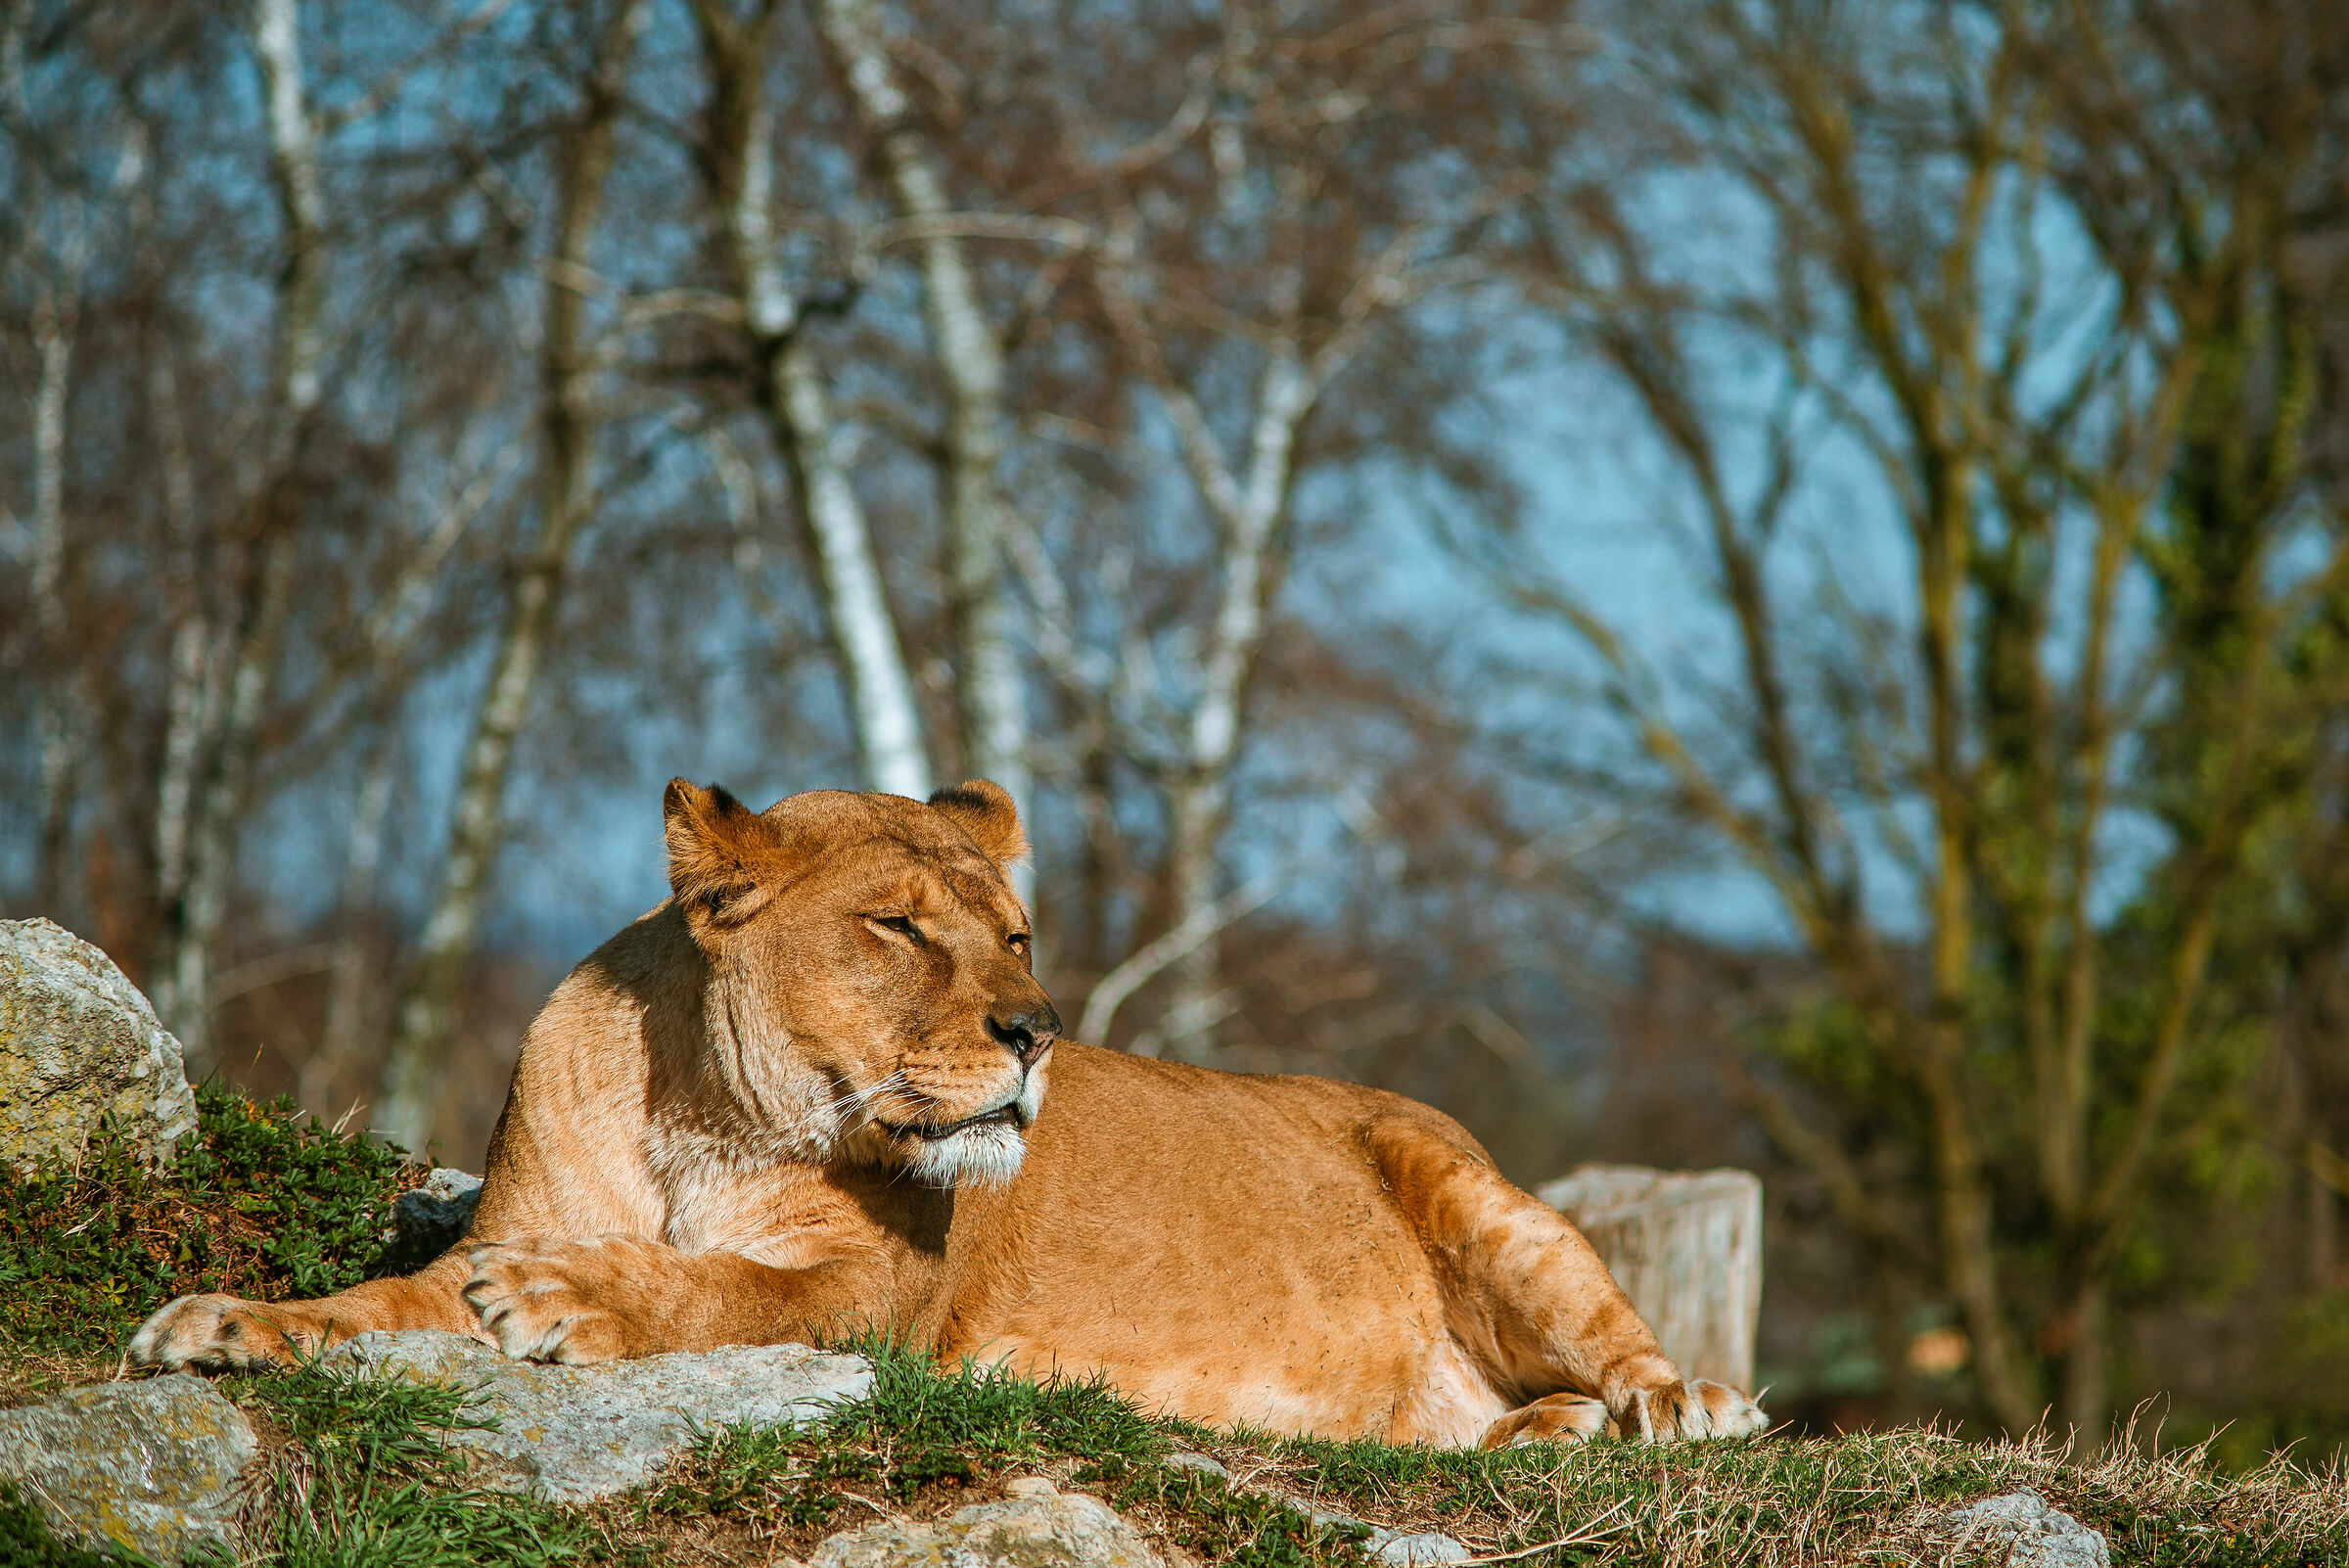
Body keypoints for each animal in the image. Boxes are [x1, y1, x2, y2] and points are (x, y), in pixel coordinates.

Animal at [132, 779, 1767, 1449]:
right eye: (903, 927)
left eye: (1020, 934)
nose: (1038, 1030)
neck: (698, 1118)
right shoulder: (499, 1223)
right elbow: (383, 1302)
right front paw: (224, 1323)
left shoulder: (878, 1297)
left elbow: (718, 1286)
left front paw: (572, 1300)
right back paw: (1543, 1429)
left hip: (1487, 1199)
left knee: (1623, 1337)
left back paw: (1670, 1404)